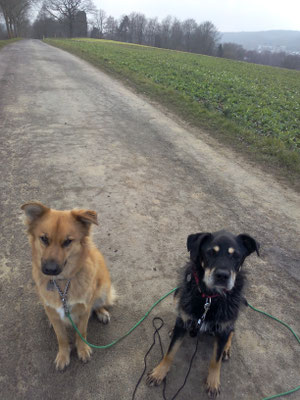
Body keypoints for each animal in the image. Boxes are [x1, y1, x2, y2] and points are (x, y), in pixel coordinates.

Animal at [21, 202, 115, 370]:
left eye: (67, 242)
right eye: (44, 239)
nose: (49, 269)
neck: (62, 285)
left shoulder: (84, 310)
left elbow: (82, 332)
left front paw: (82, 349)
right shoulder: (53, 310)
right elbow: (61, 338)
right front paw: (63, 355)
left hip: (104, 288)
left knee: (99, 303)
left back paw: (102, 312)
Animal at [146, 230, 258, 398]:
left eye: (236, 255)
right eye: (210, 252)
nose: (222, 276)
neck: (210, 298)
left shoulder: (224, 324)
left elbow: (215, 361)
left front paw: (213, 382)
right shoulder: (185, 318)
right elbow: (170, 352)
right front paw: (159, 372)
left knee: (232, 330)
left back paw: (226, 348)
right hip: (178, 294)